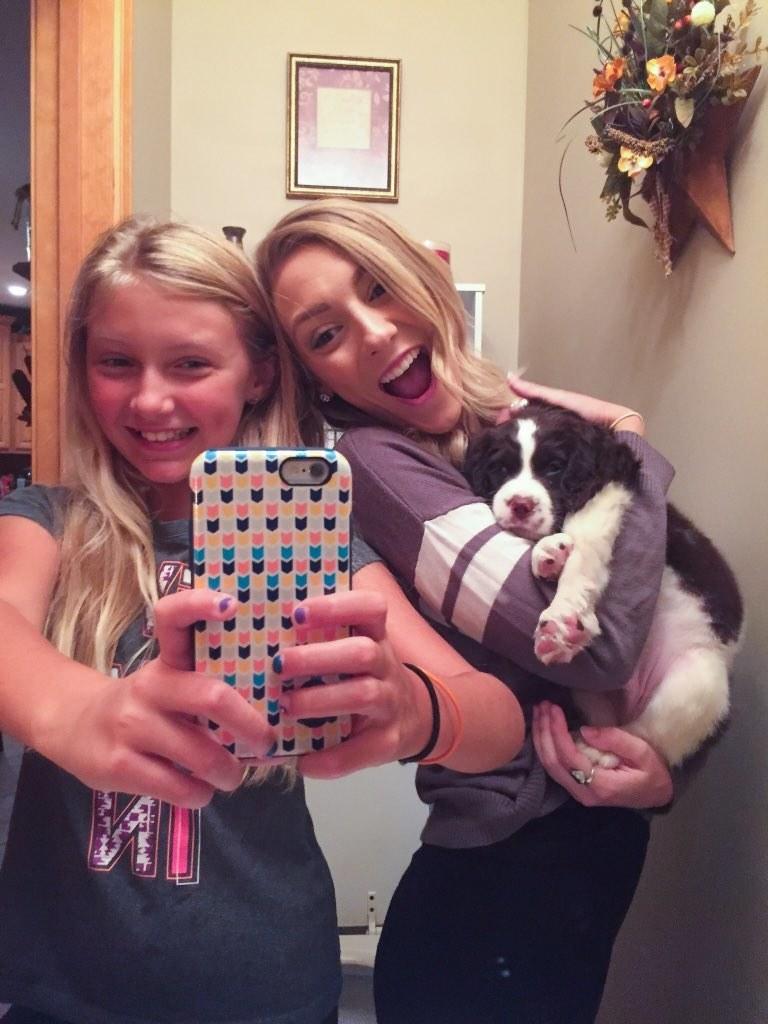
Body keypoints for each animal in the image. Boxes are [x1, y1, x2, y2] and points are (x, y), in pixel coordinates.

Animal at [464, 400, 743, 767]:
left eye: (554, 468)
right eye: (500, 469)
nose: (520, 505)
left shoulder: (607, 489)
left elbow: (584, 547)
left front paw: (562, 619)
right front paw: (550, 554)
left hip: (696, 679)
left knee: (643, 736)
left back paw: (595, 752)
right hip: (589, 691)